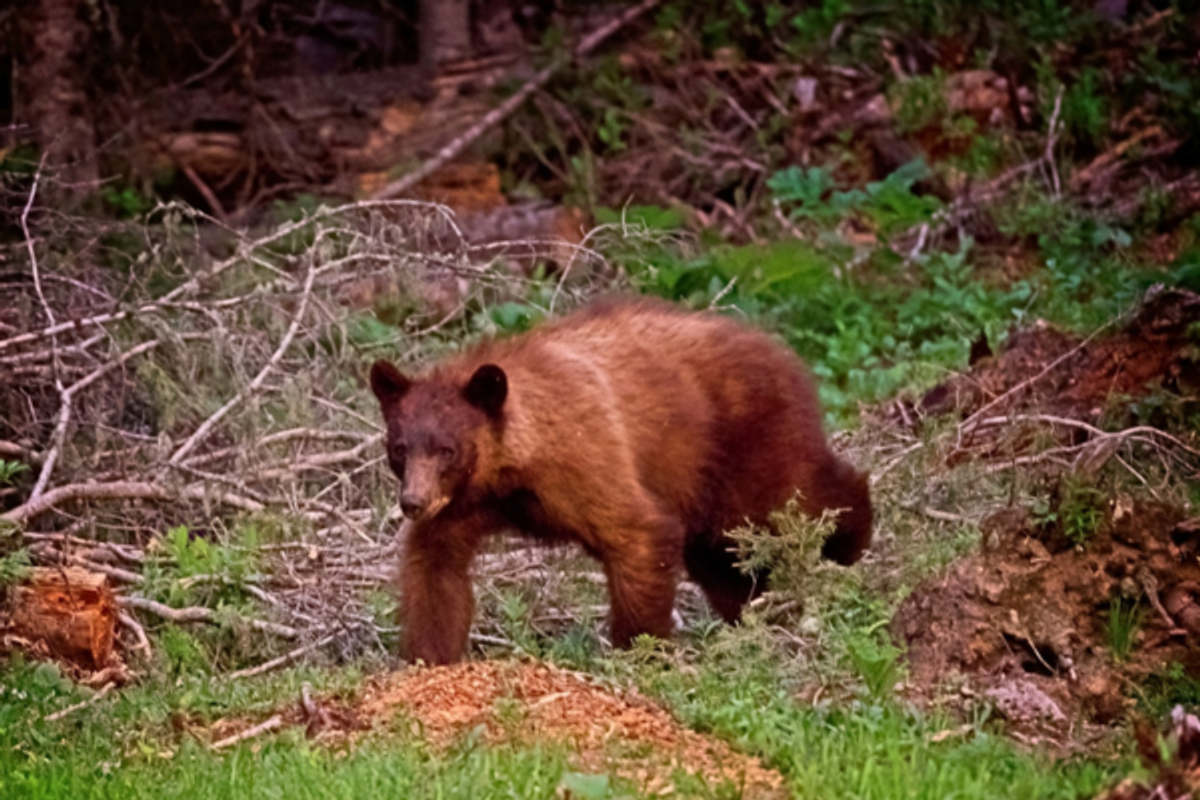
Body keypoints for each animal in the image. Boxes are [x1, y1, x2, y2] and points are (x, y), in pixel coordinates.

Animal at [369, 297, 872, 665]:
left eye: (447, 450)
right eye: (400, 448)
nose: (412, 502)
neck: (509, 469)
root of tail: (779, 348)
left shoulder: (582, 457)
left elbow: (638, 532)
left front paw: (640, 649)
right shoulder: (463, 502)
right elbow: (436, 567)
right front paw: (428, 657)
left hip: (744, 447)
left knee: (796, 495)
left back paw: (850, 542)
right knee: (725, 561)